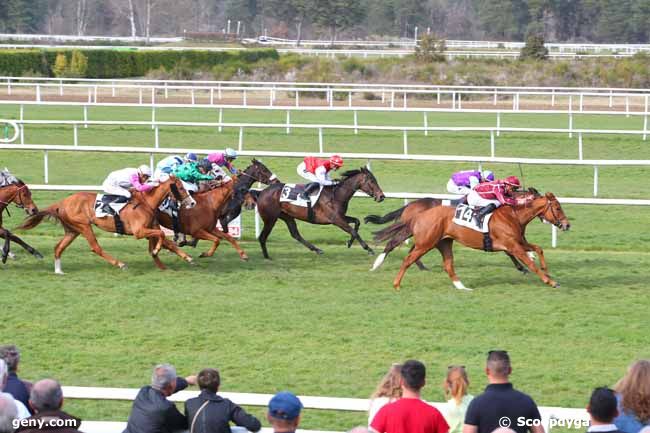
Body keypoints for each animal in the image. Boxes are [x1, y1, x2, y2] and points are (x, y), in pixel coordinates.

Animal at [17, 176, 195, 274]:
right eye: (180, 187)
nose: (192, 203)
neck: (146, 202)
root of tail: (62, 203)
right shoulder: (139, 231)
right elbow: (162, 236)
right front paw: (157, 251)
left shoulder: (149, 228)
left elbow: (167, 241)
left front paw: (185, 258)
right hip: (84, 226)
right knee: (95, 247)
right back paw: (120, 264)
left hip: (72, 230)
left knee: (58, 247)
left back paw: (59, 271)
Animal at [253, 167, 384, 258]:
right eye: (372, 181)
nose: (381, 196)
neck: (336, 195)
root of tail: (262, 192)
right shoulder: (336, 219)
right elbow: (353, 231)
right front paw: (368, 249)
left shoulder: (340, 216)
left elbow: (356, 222)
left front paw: (349, 242)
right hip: (270, 219)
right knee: (262, 237)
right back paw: (267, 256)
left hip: (287, 216)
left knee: (295, 234)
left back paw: (317, 250)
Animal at [378, 192, 568, 290]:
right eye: (558, 208)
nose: (567, 225)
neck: (514, 215)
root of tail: (419, 214)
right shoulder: (513, 246)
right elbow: (530, 263)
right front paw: (550, 281)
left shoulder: (518, 242)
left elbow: (538, 249)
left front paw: (546, 270)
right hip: (426, 243)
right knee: (408, 259)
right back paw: (396, 284)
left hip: (444, 242)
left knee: (448, 265)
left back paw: (462, 287)